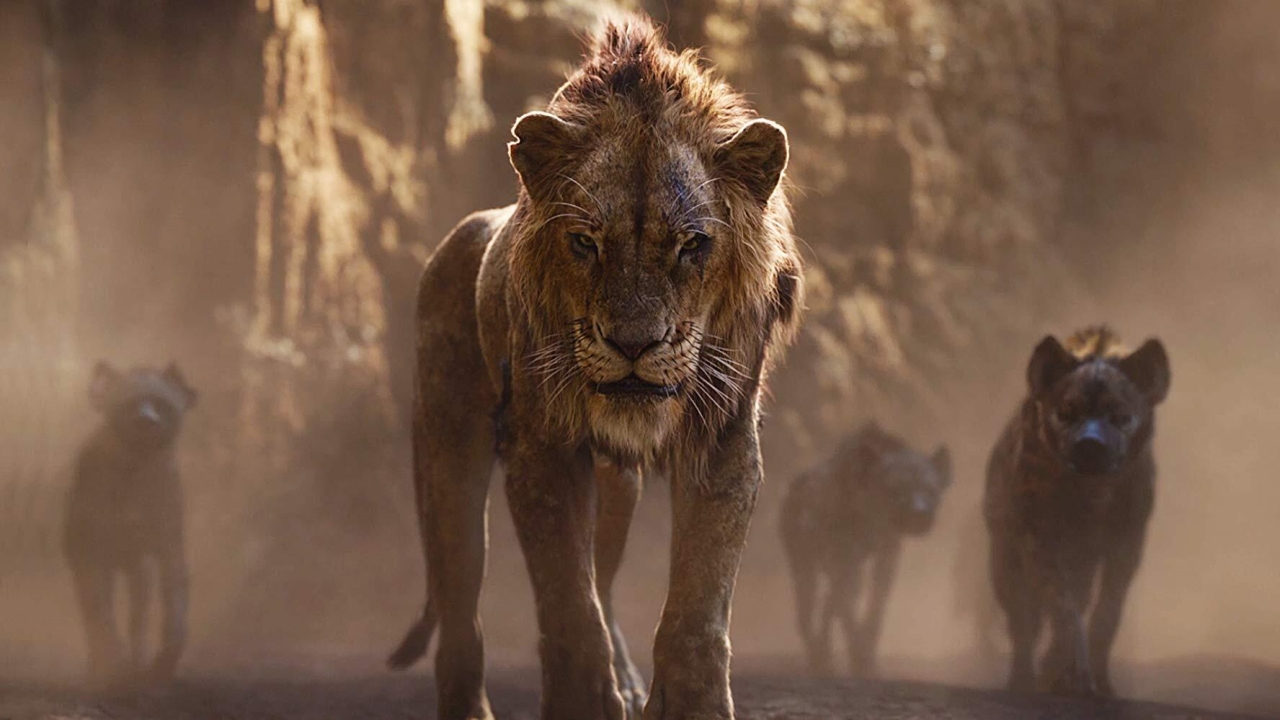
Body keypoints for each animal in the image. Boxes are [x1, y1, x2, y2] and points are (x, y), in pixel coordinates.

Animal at [386, 15, 803, 720]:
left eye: (692, 245)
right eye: (585, 243)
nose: (634, 344)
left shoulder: (723, 440)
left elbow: (697, 607)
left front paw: (688, 704)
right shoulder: (542, 448)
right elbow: (567, 603)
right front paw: (584, 700)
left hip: (616, 490)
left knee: (602, 580)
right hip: (449, 456)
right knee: (461, 611)